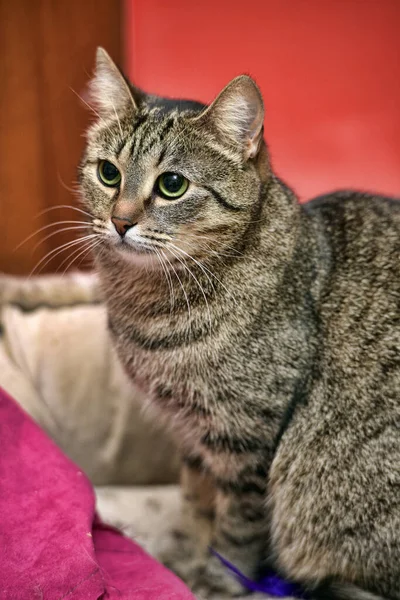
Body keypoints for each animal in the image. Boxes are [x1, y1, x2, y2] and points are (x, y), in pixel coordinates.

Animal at [79, 48, 400, 600]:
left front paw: (215, 580)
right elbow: (195, 503)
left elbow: (236, 527)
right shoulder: (192, 436)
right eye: (107, 173)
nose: (120, 221)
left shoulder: (245, 436)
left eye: (172, 185)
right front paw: (183, 555)